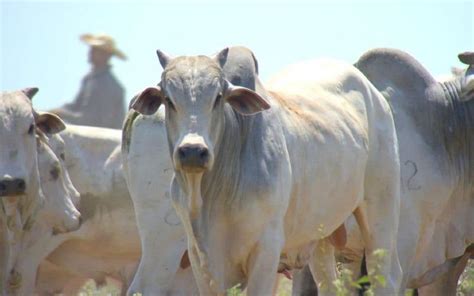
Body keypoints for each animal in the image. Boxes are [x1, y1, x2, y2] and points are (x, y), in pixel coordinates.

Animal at [131, 49, 402, 294]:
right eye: (168, 99)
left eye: (218, 97)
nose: (192, 151)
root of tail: (374, 94)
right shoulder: (201, 257)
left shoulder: (267, 248)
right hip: (320, 234)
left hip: (381, 210)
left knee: (386, 275)